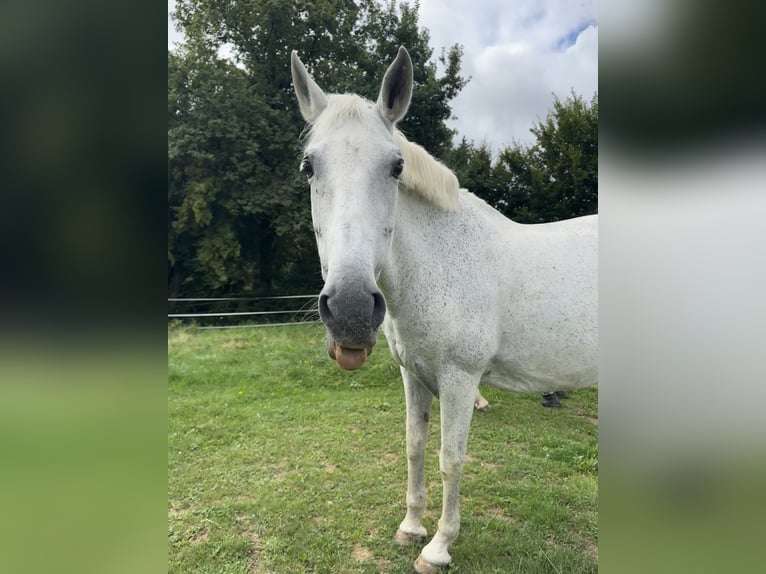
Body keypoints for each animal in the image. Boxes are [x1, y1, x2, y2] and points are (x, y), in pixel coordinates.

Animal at [291, 46, 597, 573]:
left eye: (396, 167)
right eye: (310, 166)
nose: (351, 309)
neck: (441, 261)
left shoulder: (459, 379)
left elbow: (450, 459)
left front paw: (437, 547)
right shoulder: (413, 374)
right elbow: (414, 446)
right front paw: (411, 527)